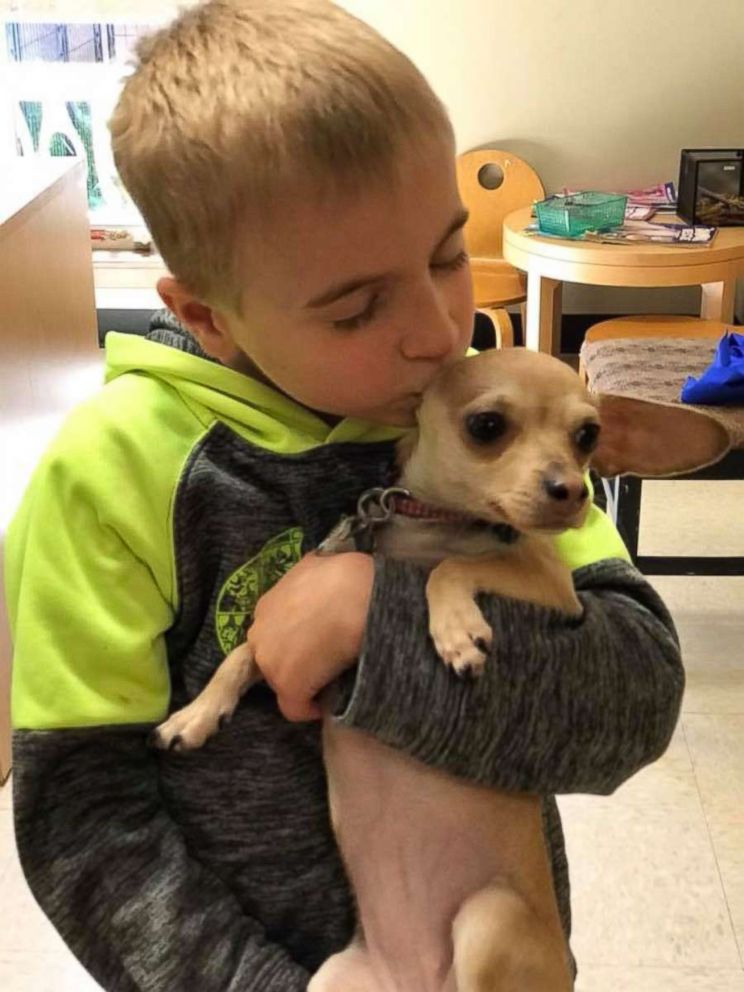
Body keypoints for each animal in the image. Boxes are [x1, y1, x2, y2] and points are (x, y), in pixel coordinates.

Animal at [153, 348, 728, 992]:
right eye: (486, 426)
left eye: (588, 436)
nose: (572, 492)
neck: (432, 524)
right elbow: (244, 652)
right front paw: (195, 715)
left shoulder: (555, 591)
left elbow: (451, 569)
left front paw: (454, 629)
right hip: (334, 978)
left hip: (487, 922)